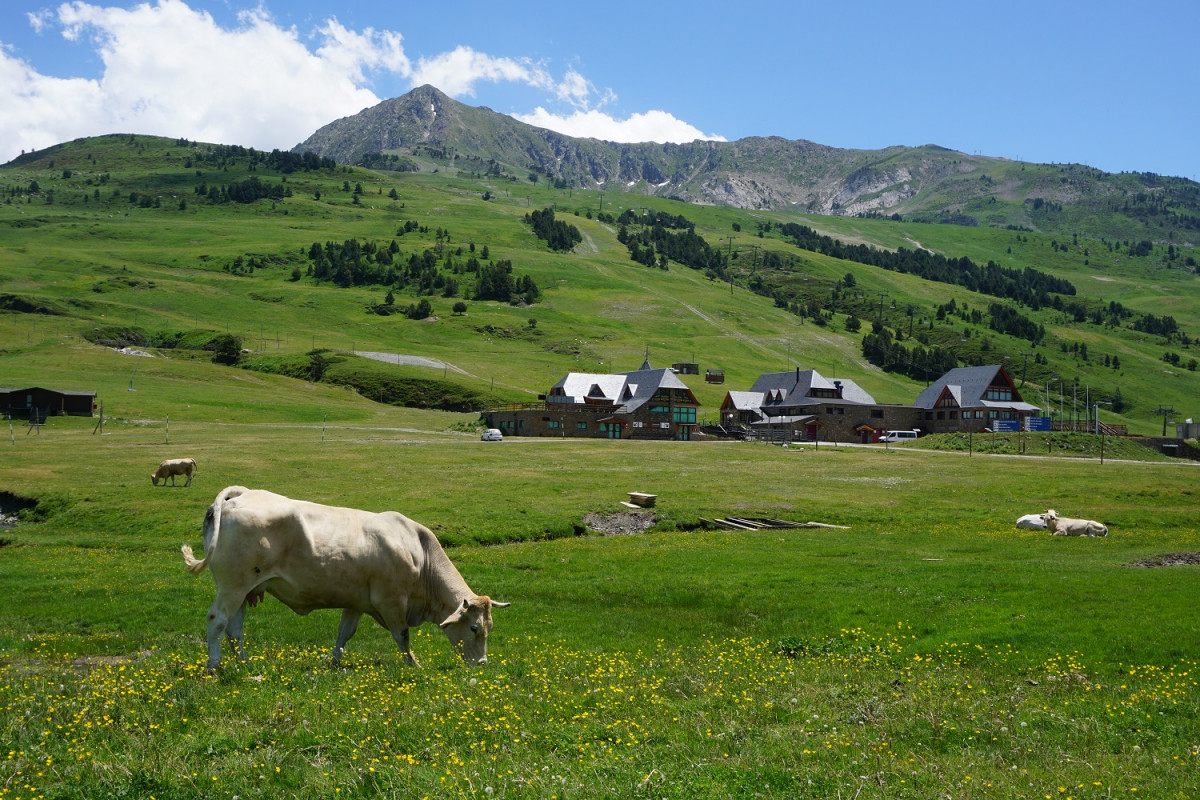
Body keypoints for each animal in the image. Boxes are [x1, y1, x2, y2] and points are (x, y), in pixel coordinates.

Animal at [180, 484, 508, 671]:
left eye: (489, 627)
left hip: (245, 590)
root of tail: (240, 494)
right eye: (475, 628)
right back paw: (214, 666)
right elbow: (402, 636)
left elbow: (344, 633)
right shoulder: (391, 601)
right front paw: (413, 664)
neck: (419, 552)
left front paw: (334, 662)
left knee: (235, 629)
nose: (482, 664)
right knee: (217, 620)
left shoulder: (356, 602)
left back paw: (245, 664)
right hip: (233, 586)